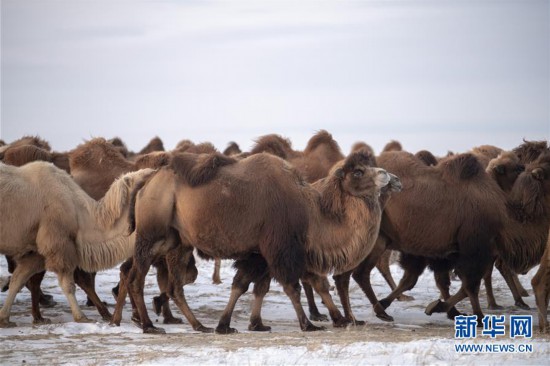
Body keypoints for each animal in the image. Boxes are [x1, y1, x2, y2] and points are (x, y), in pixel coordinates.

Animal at [0, 162, 155, 328]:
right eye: (146, 177)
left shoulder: (36, 251)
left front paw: (4, 318)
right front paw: (81, 317)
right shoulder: (58, 241)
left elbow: (17, 280)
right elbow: (68, 284)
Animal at [124, 150, 392, 334]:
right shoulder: (281, 248)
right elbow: (293, 287)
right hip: (151, 234)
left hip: (177, 241)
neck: (308, 212)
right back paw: (149, 326)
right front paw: (309, 324)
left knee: (172, 285)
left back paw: (198, 325)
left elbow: (250, 286)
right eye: (358, 171)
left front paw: (243, 324)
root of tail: (145, 183)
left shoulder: (261, 253)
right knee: (137, 278)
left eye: (371, 166)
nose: (388, 175)